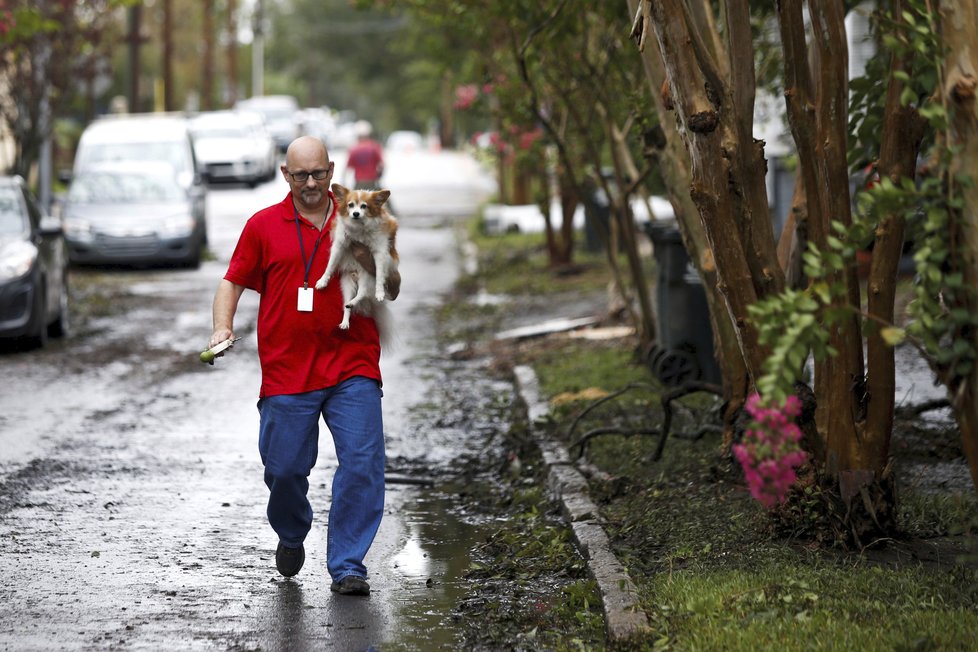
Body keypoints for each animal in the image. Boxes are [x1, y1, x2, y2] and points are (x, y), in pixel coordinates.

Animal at [316, 183, 400, 348]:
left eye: (364, 206)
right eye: (350, 205)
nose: (355, 214)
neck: (359, 227)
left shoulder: (379, 252)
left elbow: (380, 274)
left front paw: (380, 292)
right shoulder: (340, 245)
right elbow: (330, 265)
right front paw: (323, 281)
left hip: (366, 276)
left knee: (362, 293)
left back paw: (357, 300)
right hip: (347, 284)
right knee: (350, 301)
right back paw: (346, 315)